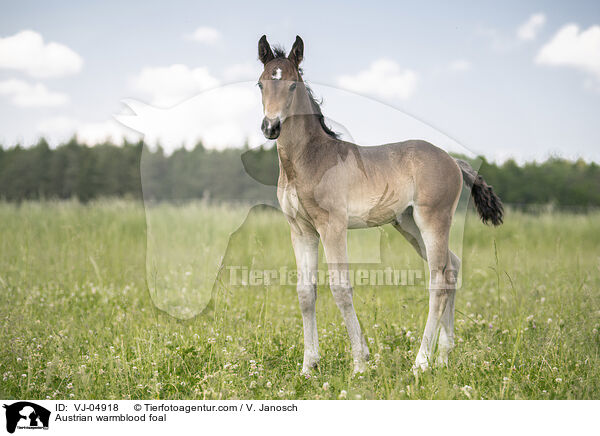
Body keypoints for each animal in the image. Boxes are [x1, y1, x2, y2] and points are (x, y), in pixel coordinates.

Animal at [255, 35, 504, 374]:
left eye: (293, 85)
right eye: (260, 84)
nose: (271, 127)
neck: (308, 159)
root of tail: (453, 160)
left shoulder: (332, 226)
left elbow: (341, 289)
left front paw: (360, 363)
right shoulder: (301, 230)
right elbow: (306, 293)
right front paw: (308, 366)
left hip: (432, 221)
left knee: (438, 280)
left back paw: (421, 362)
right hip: (408, 224)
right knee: (451, 267)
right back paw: (443, 356)